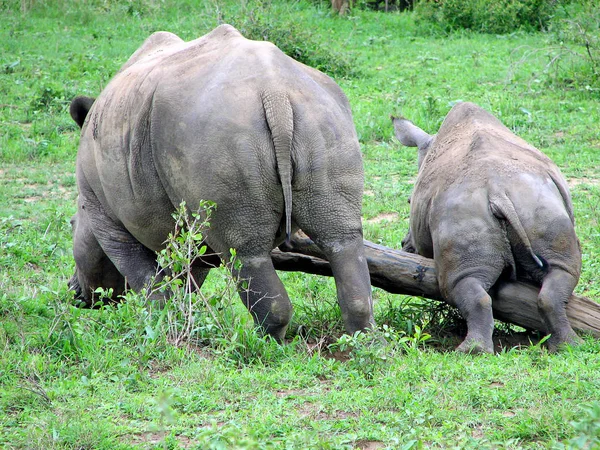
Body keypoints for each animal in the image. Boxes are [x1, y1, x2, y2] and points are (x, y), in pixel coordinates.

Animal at [68, 24, 372, 342]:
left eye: (71, 225)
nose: (74, 292)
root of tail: (276, 93)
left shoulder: (105, 214)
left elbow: (146, 279)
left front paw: (158, 326)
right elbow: (186, 277)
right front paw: (180, 319)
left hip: (216, 135)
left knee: (245, 254)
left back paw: (262, 346)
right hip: (322, 120)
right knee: (341, 239)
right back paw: (362, 341)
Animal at [394, 103, 580, 356]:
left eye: (409, 202)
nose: (404, 245)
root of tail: (497, 191)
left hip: (471, 209)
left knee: (456, 284)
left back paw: (469, 352)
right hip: (536, 202)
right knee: (560, 272)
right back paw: (569, 346)